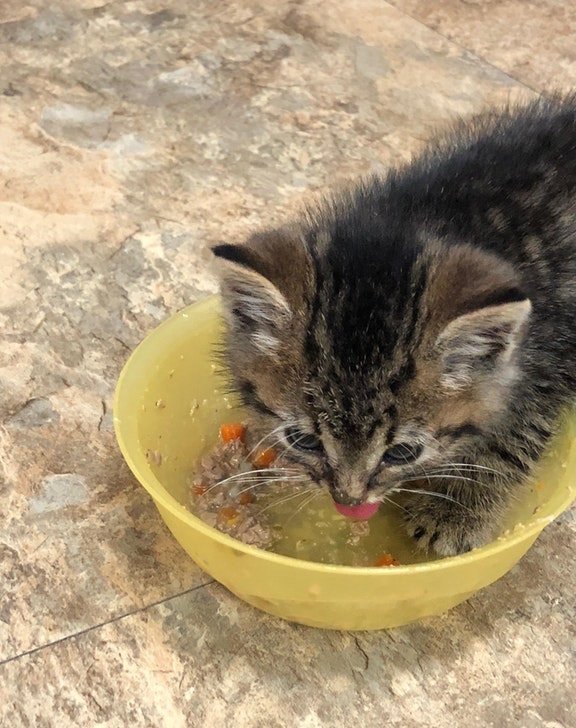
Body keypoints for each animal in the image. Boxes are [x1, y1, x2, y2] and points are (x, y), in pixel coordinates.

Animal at [212, 94, 576, 556]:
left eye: (402, 453)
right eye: (304, 440)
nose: (349, 499)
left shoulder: (550, 361)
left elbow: (512, 438)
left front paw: (455, 510)